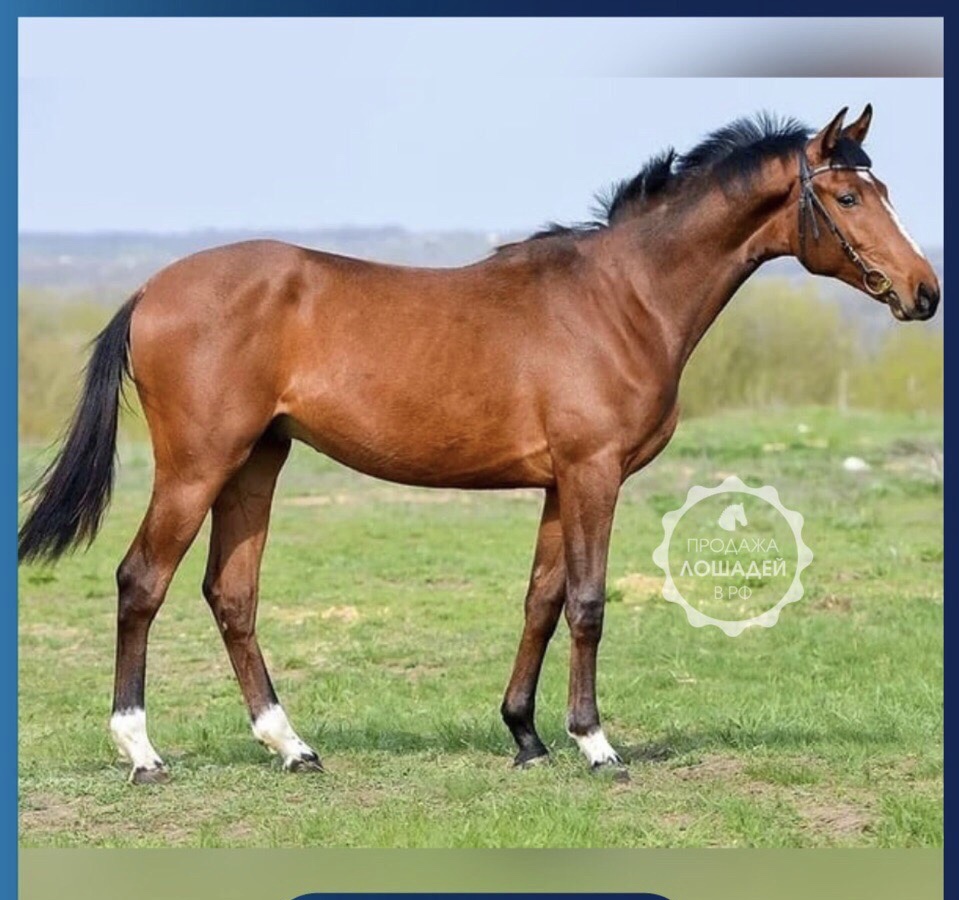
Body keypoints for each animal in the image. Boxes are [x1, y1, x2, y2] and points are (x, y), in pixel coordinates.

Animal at [18, 106, 940, 784]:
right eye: (849, 199)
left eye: (883, 188)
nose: (923, 292)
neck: (620, 298)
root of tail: (150, 288)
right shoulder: (594, 475)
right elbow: (588, 603)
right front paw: (595, 744)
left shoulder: (559, 483)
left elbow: (540, 600)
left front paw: (525, 736)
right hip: (198, 464)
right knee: (142, 581)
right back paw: (142, 751)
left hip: (257, 461)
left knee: (230, 594)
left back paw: (291, 745)